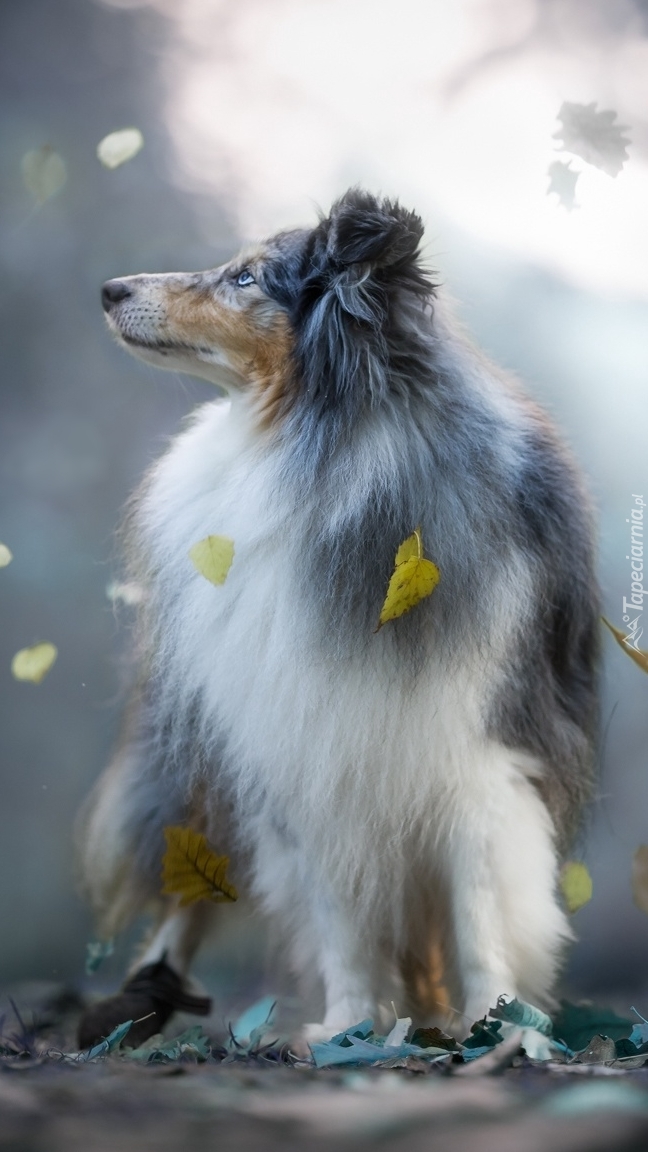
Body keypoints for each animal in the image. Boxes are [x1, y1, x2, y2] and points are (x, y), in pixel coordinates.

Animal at [74, 191, 594, 1055]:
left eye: (246, 277)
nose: (110, 290)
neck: (316, 459)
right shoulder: (306, 745)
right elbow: (342, 915)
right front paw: (348, 1027)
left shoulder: (480, 756)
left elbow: (480, 910)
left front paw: (500, 1026)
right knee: (191, 886)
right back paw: (143, 999)